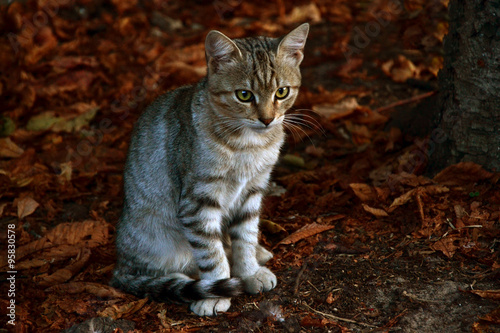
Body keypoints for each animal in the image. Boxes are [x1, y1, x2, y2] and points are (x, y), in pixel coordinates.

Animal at [111, 22, 310, 314]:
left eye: (282, 92)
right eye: (244, 95)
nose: (267, 119)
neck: (249, 145)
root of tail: (119, 264)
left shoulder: (252, 190)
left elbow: (244, 236)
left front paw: (249, 270)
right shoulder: (197, 202)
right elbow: (211, 254)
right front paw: (216, 293)